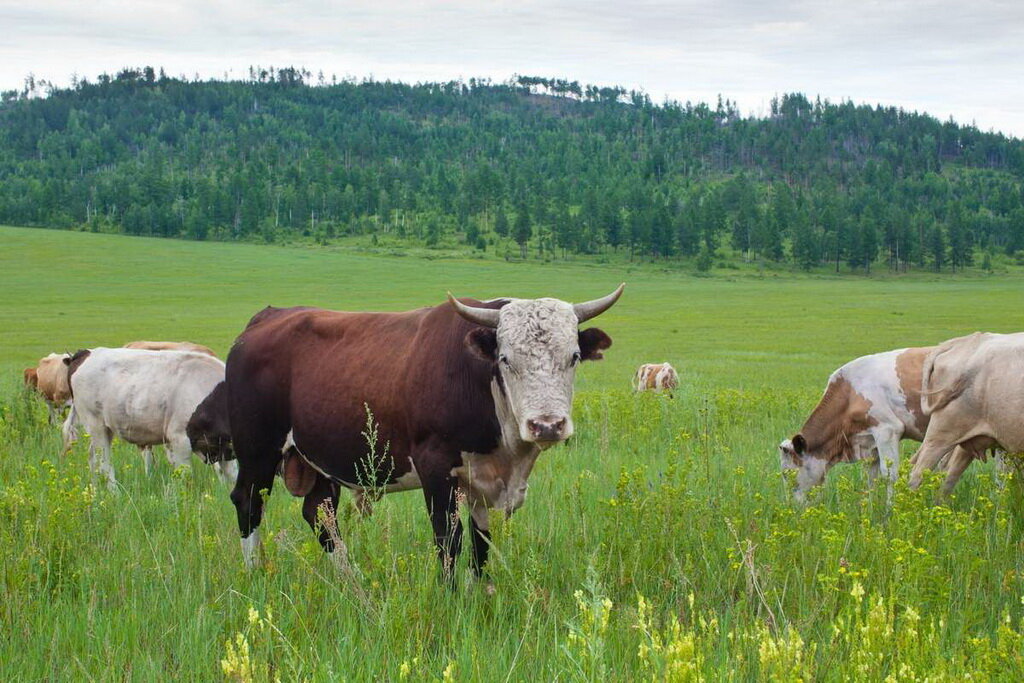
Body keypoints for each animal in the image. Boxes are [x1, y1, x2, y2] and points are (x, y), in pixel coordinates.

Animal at [63, 350, 237, 489]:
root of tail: (86, 353)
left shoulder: (223, 447)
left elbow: (232, 476)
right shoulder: (179, 438)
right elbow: (185, 477)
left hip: (104, 429)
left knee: (92, 458)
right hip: (95, 424)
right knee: (103, 462)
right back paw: (114, 494)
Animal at [227, 286, 618, 581]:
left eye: (574, 356)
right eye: (506, 359)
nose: (547, 424)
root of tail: (268, 317)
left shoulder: (487, 482)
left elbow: (481, 544)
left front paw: (482, 597)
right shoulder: (436, 468)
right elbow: (448, 541)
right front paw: (451, 601)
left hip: (317, 459)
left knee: (320, 514)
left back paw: (352, 581)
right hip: (257, 451)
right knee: (249, 502)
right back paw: (255, 573)